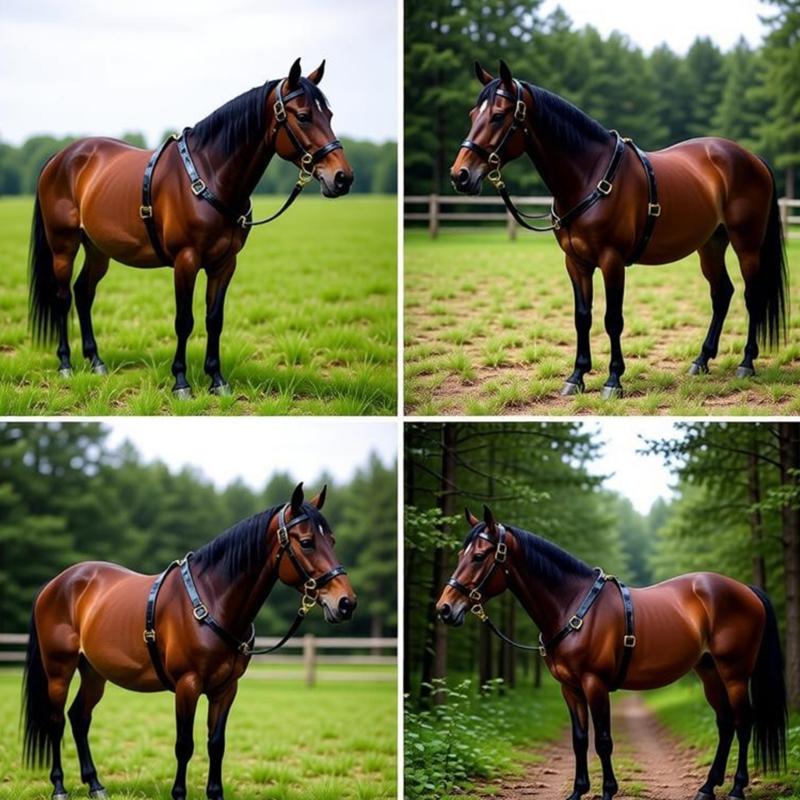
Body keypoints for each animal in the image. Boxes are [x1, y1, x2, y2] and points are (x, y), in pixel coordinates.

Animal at [22, 483, 356, 800]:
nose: (346, 603)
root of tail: (55, 584)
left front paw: (216, 793)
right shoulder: (188, 684)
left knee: (79, 718)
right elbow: (184, 744)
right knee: (56, 721)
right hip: (59, 671)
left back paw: (95, 785)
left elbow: (216, 743)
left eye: (333, 541)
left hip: (94, 672)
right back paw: (59, 787)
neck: (212, 599)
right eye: (307, 542)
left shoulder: (226, 689)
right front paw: (179, 793)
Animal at [28, 58, 353, 398]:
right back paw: (65, 364)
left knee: (83, 293)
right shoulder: (186, 261)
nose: (342, 177)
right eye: (303, 116)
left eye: (329, 114)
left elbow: (214, 319)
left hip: (98, 248)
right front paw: (181, 382)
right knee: (63, 297)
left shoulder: (225, 263)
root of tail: (60, 157)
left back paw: (96, 361)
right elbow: (184, 320)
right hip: (63, 245)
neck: (210, 175)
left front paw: (217, 380)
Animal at [436, 505, 787, 800]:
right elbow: (579, 739)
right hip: (709, 670)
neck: (573, 605)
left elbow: (603, 740)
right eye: (460, 553)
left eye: (480, 556)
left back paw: (737, 789)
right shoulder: (570, 688)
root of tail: (746, 591)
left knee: (744, 722)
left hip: (735, 673)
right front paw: (577, 792)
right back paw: (707, 788)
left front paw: (607, 791)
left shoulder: (595, 684)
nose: (444, 608)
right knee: (726, 723)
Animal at [450, 60, 787, 399]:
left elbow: (612, 319)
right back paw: (701, 360)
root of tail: (752, 158)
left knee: (752, 296)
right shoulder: (576, 262)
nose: (460, 175)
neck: (589, 176)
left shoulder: (612, 261)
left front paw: (613, 379)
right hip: (711, 245)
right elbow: (582, 317)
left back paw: (746, 363)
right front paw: (576, 376)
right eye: (472, 114)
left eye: (498, 115)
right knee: (722, 293)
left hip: (746, 244)